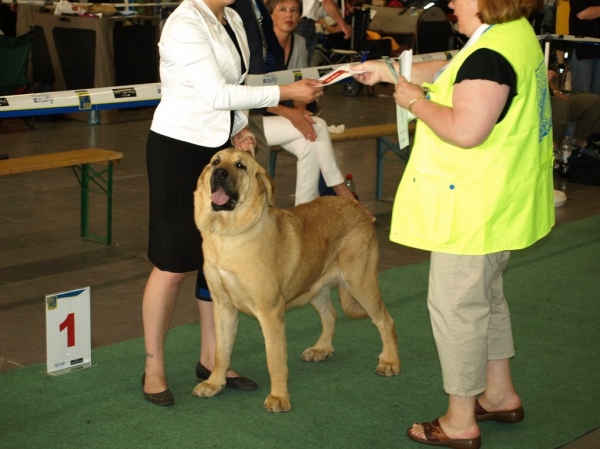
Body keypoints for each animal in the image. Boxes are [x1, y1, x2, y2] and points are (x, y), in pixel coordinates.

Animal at [192, 149, 398, 412]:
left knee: (385, 321)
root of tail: (357, 206)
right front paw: (215, 383)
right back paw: (321, 349)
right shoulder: (223, 306)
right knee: (331, 315)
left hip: (361, 282)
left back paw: (390, 361)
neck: (228, 235)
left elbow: (275, 358)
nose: (219, 173)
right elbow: (222, 352)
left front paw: (279, 397)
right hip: (315, 287)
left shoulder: (270, 312)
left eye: (240, 166)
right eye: (215, 162)